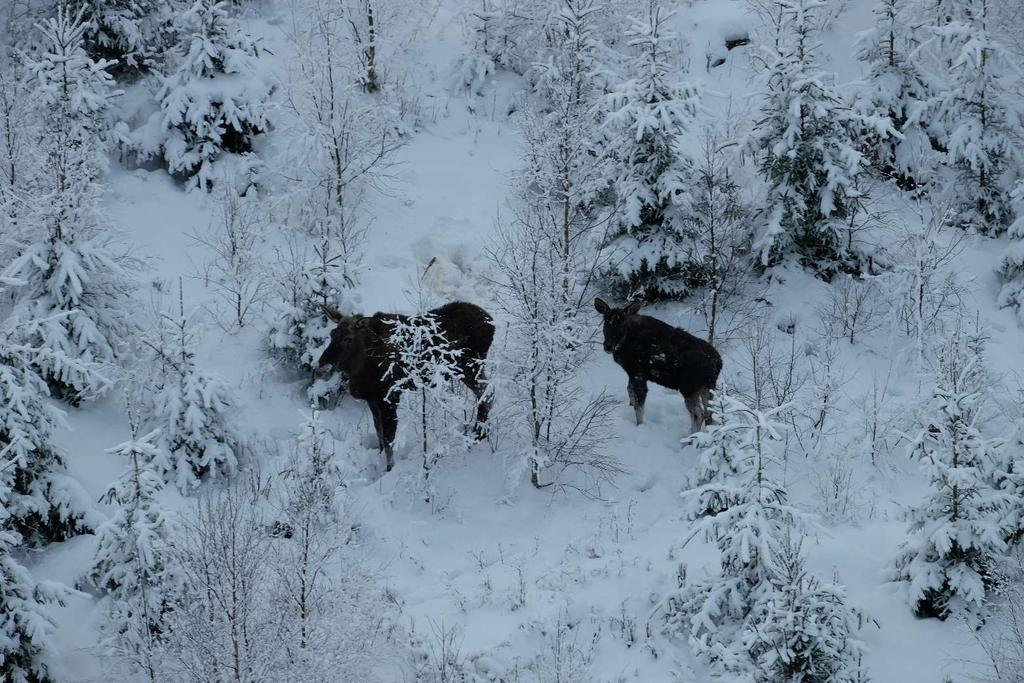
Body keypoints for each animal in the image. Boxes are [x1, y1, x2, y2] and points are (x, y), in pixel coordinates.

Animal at [319, 301, 495, 473]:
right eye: (332, 334)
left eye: (348, 338)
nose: (322, 365)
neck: (360, 365)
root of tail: (491, 323)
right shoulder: (372, 399)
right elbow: (379, 432)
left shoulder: (389, 397)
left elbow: (389, 439)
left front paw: (389, 469)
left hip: (471, 368)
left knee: (487, 396)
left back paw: (478, 435)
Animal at [593, 296, 720, 430]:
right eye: (606, 323)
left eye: (622, 326)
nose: (608, 346)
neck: (624, 344)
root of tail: (718, 364)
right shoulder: (631, 373)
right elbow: (630, 393)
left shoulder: (638, 373)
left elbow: (639, 406)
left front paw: (639, 426)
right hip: (708, 386)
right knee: (710, 412)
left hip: (689, 387)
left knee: (698, 414)